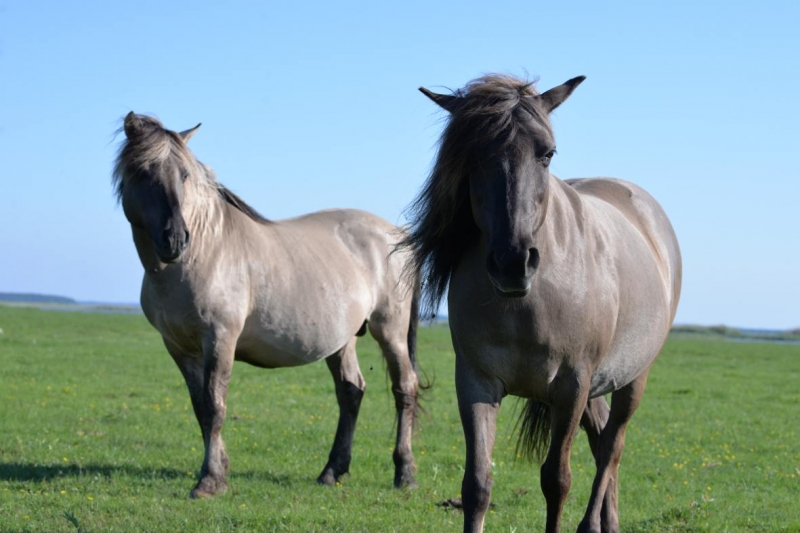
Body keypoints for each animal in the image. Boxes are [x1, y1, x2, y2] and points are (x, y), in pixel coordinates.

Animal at [114, 112, 424, 498]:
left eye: (184, 175)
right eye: (142, 173)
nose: (175, 240)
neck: (204, 251)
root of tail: (399, 236)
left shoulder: (220, 339)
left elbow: (215, 406)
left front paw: (209, 481)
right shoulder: (179, 347)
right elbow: (201, 409)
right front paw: (221, 471)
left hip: (390, 331)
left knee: (404, 388)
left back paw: (405, 474)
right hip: (343, 339)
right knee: (351, 392)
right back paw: (331, 471)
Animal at [404, 72, 684, 528]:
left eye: (548, 154)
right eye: (473, 155)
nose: (513, 263)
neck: (527, 303)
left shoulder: (572, 384)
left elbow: (557, 480)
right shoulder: (476, 382)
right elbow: (476, 484)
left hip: (632, 378)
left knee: (612, 449)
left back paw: (592, 524)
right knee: (602, 442)